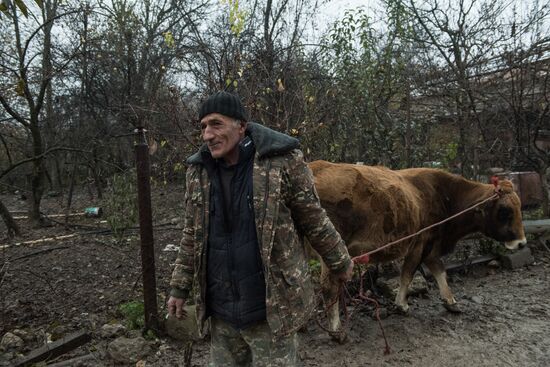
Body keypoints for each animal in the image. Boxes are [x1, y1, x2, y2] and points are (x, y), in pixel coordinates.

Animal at [310, 162, 532, 340]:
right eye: (504, 211)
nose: (521, 243)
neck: (446, 196)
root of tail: (317, 167)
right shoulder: (420, 244)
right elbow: (408, 274)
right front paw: (402, 305)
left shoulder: (432, 247)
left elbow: (439, 272)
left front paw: (450, 302)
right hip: (333, 249)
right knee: (329, 287)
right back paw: (337, 331)